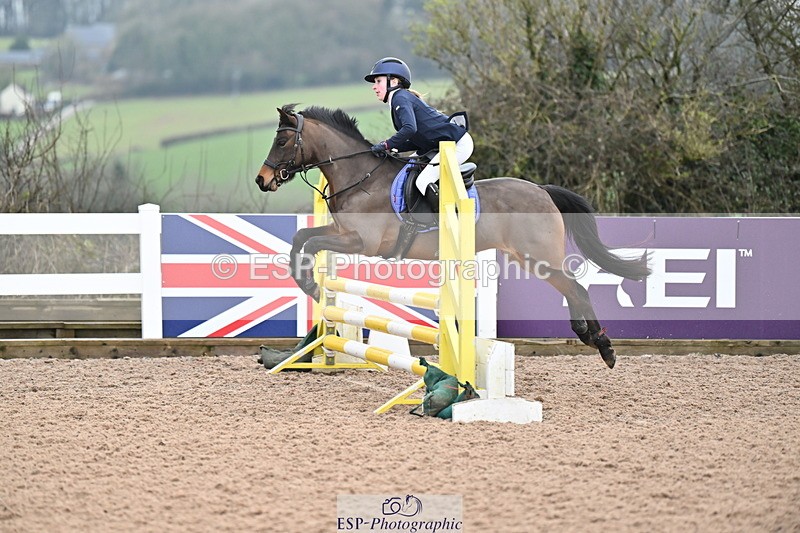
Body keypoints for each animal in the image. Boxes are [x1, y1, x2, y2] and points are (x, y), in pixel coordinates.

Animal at [255, 104, 650, 369]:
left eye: (282, 141)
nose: (262, 180)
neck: (359, 177)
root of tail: (542, 190)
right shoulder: (341, 231)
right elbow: (303, 237)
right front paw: (309, 284)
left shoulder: (361, 242)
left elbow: (312, 243)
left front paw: (311, 285)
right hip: (528, 257)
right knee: (571, 287)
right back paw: (587, 335)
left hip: (536, 256)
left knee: (576, 287)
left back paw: (603, 346)